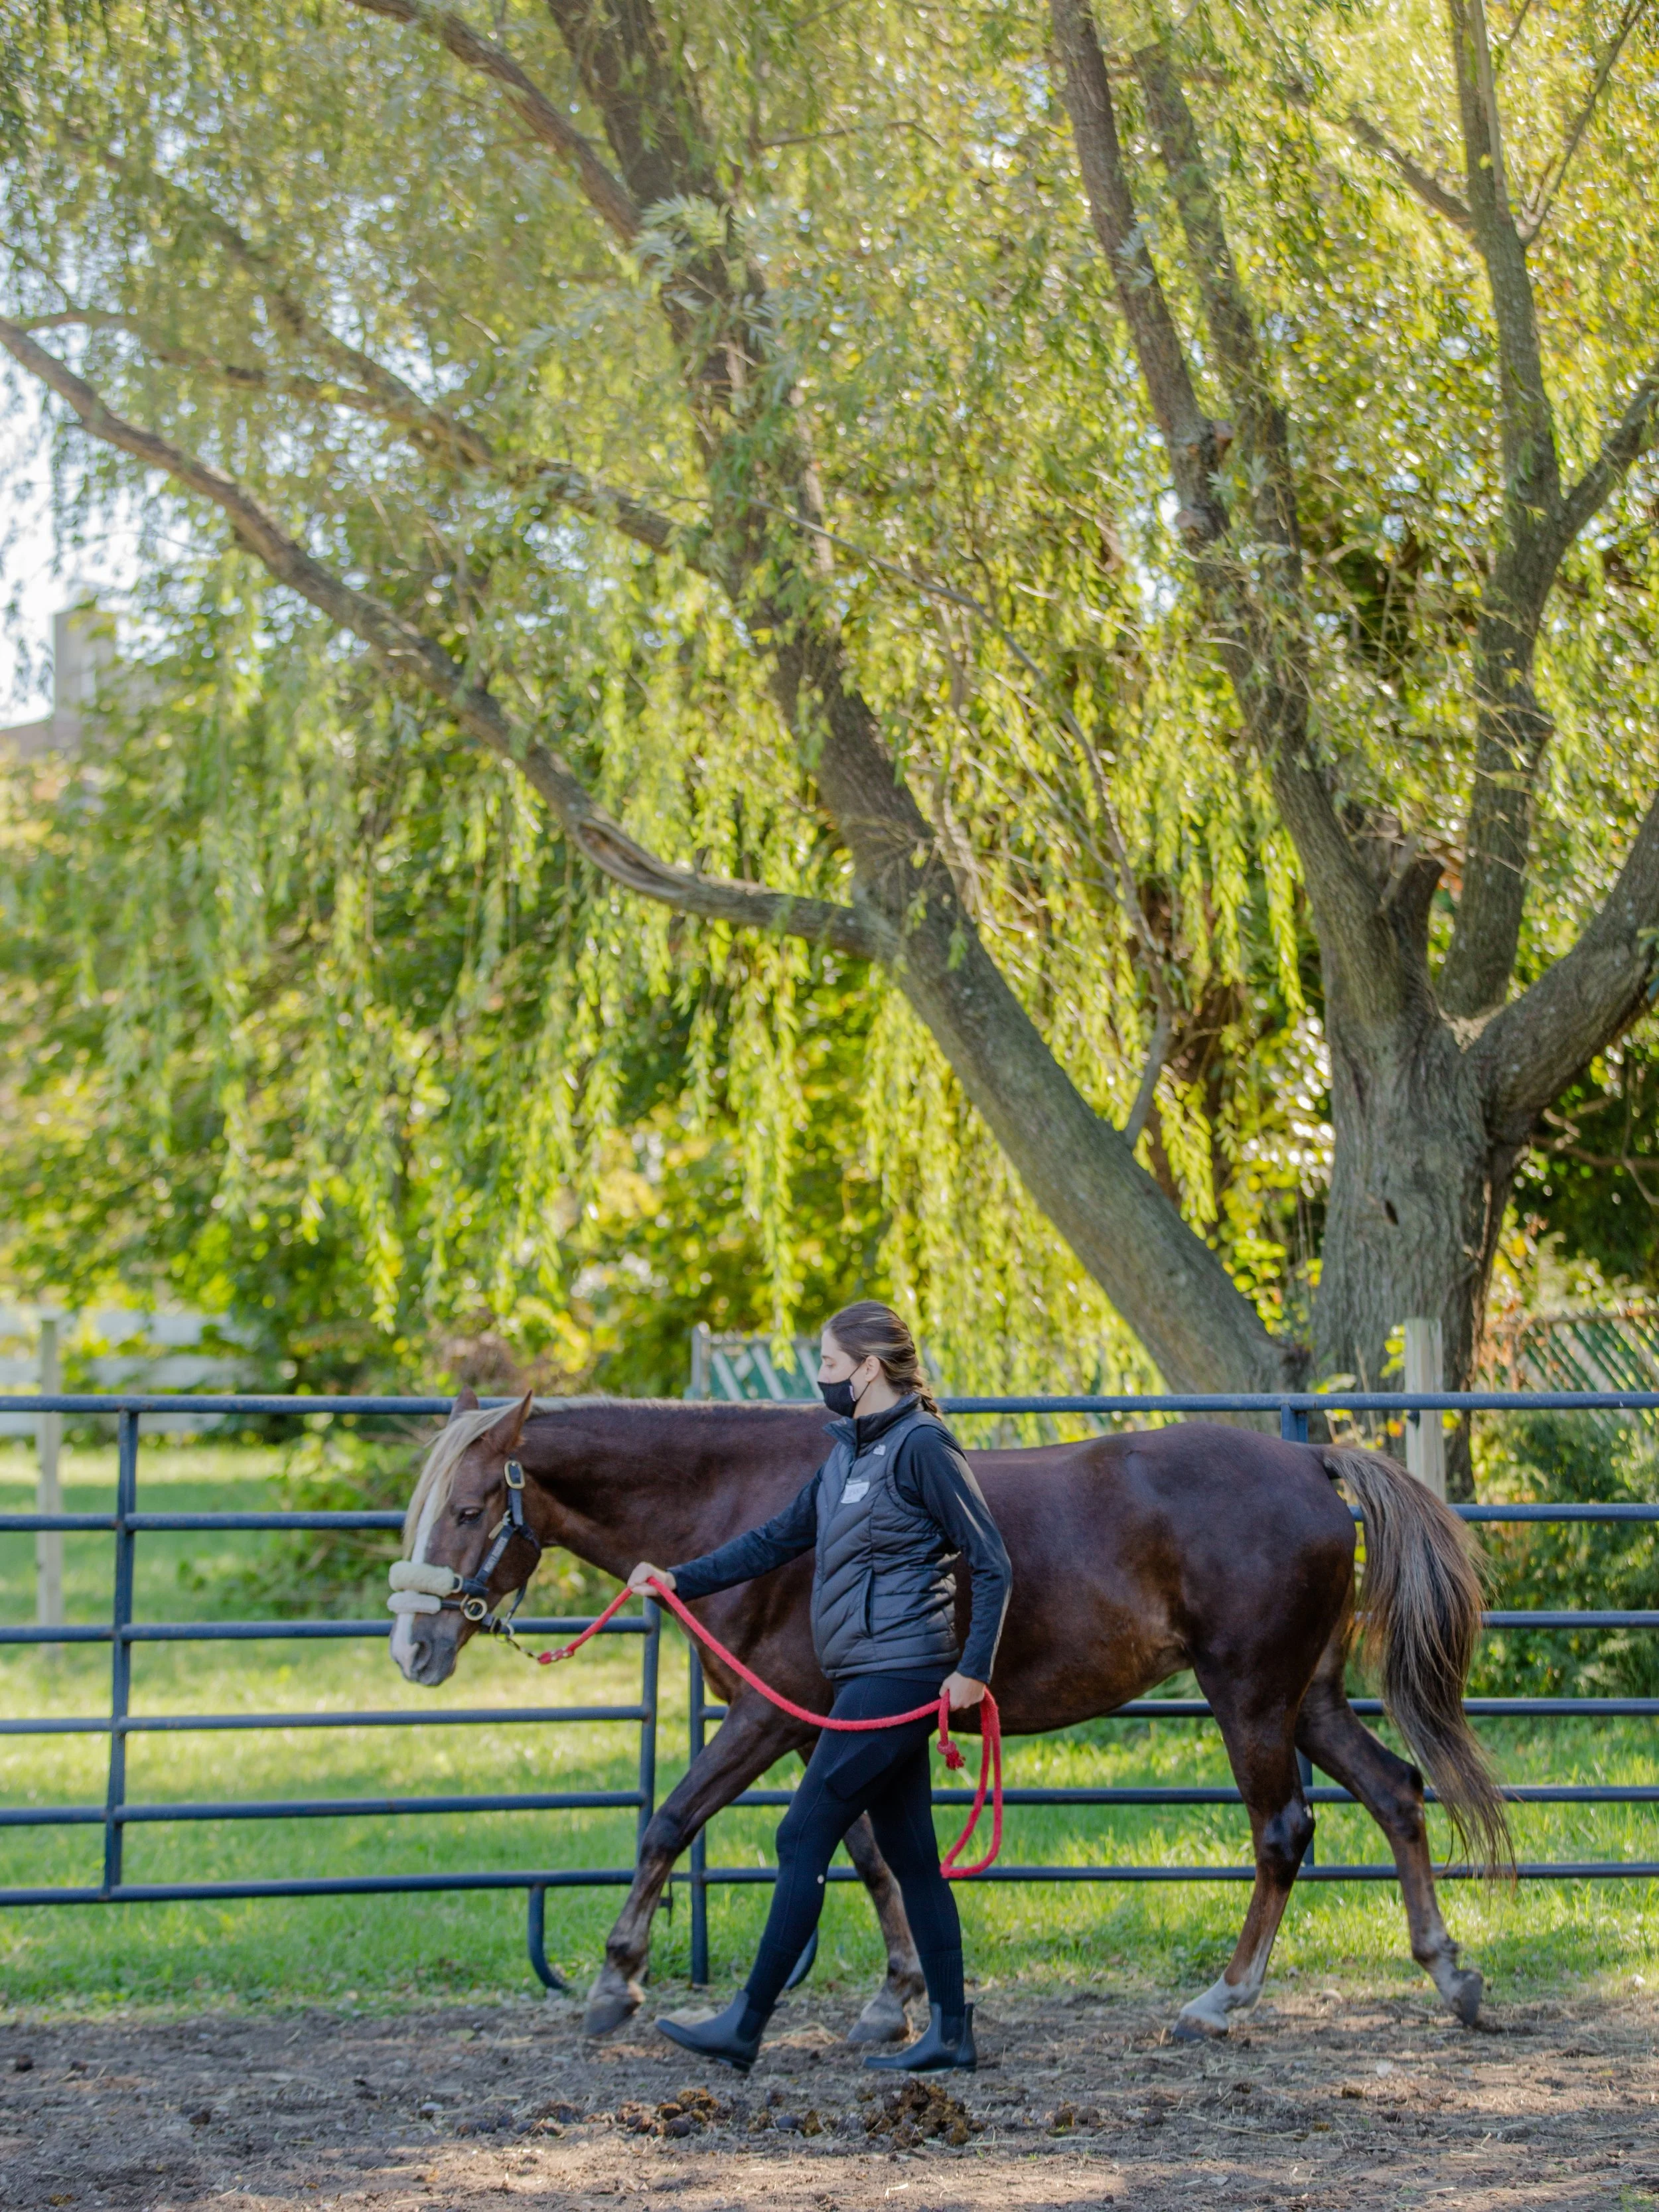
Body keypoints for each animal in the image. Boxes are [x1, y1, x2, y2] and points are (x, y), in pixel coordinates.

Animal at [389, 1388, 1509, 2043]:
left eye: (470, 1508)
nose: (412, 1650)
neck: (749, 1498)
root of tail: (1314, 1463)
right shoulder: (833, 1729)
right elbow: (874, 1856)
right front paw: (896, 1998)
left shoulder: (771, 1718)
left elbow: (672, 1820)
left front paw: (615, 1984)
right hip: (1307, 1697)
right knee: (1398, 1795)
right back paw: (1450, 1973)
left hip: (1251, 1697)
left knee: (1282, 1831)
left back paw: (1222, 1999)